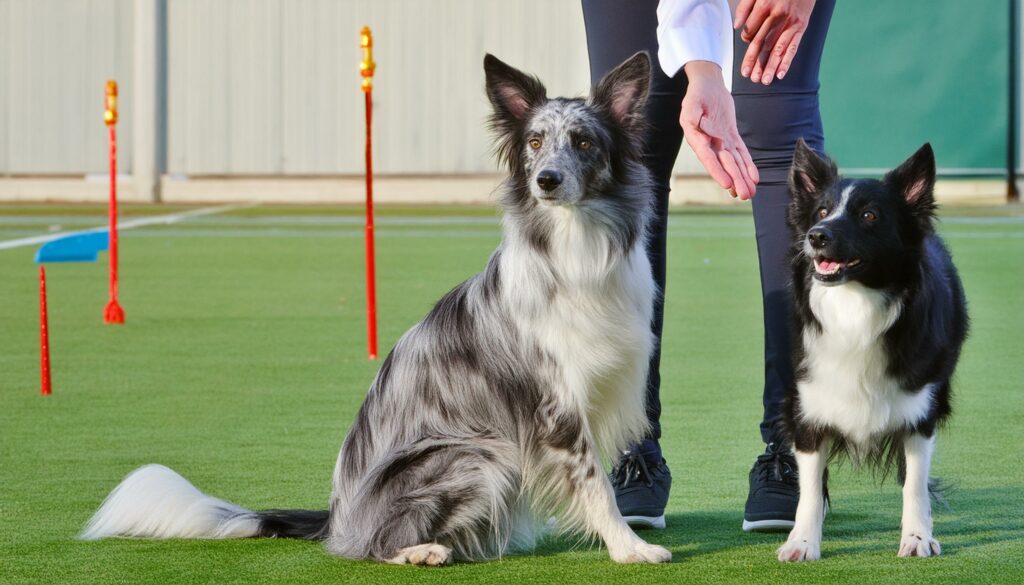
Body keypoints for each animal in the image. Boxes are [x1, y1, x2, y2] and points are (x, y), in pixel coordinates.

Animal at [79, 53, 671, 569]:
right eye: (534, 141)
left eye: (584, 141)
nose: (546, 179)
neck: (575, 247)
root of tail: (338, 515)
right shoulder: (556, 406)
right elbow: (596, 485)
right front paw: (629, 549)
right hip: (478, 453)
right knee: (367, 545)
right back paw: (419, 551)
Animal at [778, 138, 970, 561]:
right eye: (821, 211)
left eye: (869, 215)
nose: (816, 236)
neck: (855, 304)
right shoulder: (809, 407)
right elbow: (809, 489)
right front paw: (802, 542)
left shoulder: (919, 413)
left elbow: (914, 482)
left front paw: (917, 537)